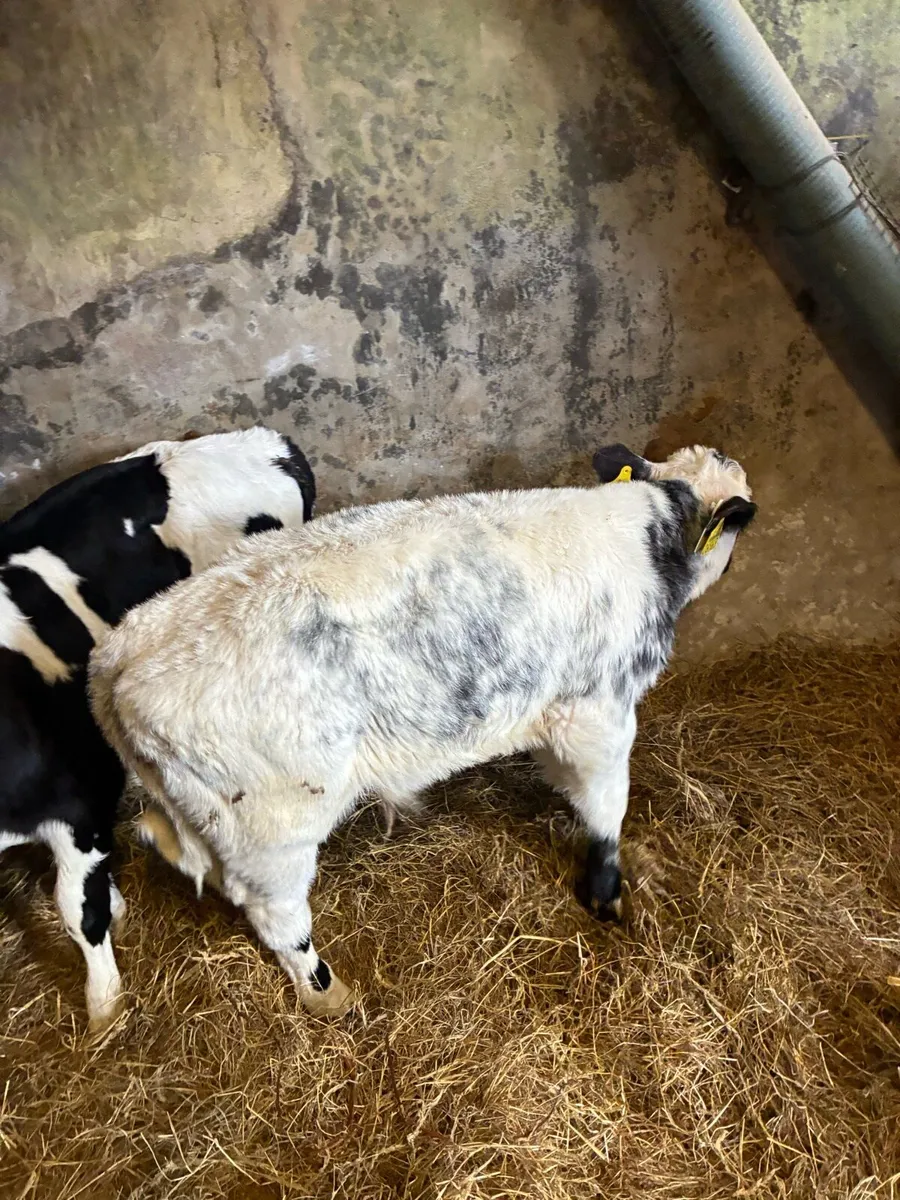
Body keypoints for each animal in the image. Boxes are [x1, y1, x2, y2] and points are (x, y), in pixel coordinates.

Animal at [89, 443, 757, 1019]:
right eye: (742, 526)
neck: (652, 530)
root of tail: (124, 652)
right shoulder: (599, 711)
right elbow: (605, 811)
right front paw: (606, 892)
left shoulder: (554, 712)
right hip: (273, 829)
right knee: (274, 915)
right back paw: (326, 992)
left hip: (201, 811)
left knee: (167, 841)